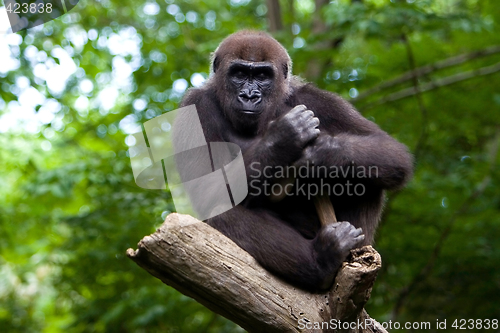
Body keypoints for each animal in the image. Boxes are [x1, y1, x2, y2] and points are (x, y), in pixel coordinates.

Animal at [176, 31, 414, 290]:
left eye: (262, 76)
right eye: (238, 74)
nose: (249, 96)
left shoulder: (315, 99)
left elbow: (392, 152)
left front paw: (319, 155)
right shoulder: (195, 105)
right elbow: (207, 188)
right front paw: (282, 138)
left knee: (369, 177)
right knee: (221, 209)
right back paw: (321, 260)